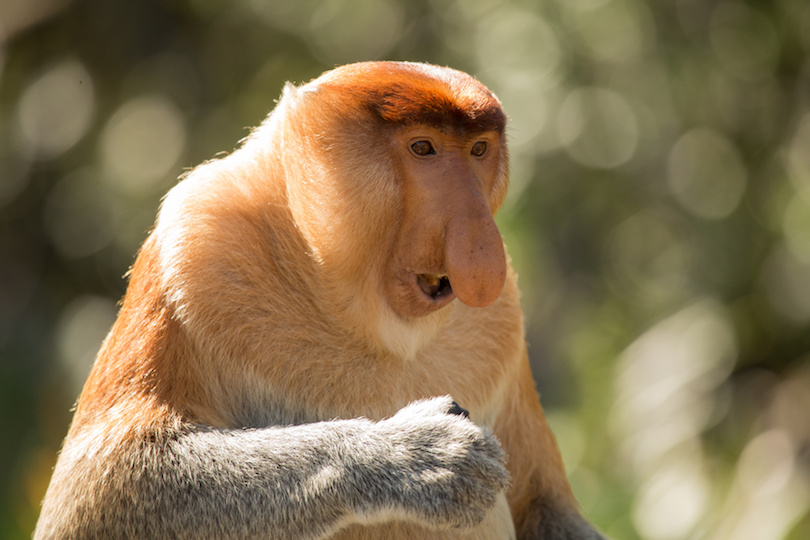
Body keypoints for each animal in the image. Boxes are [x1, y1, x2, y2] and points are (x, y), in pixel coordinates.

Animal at [34, 62, 604, 540]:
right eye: (423, 148)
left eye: (479, 151)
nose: (482, 244)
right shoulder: (197, 248)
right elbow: (101, 485)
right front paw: (417, 454)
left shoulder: (503, 319)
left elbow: (545, 506)